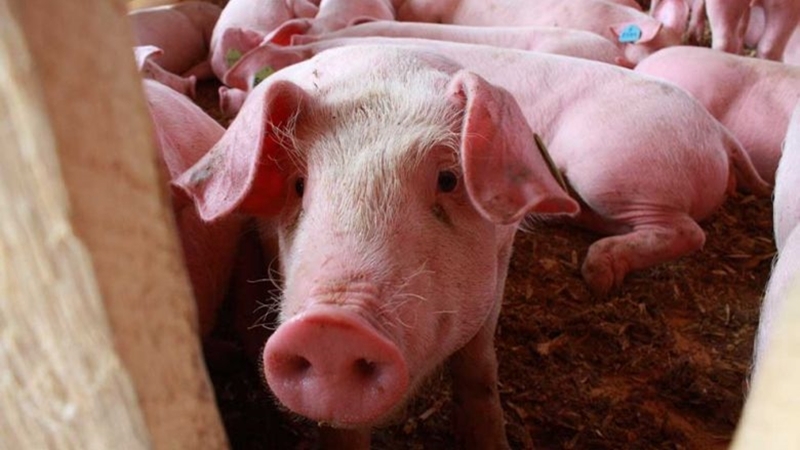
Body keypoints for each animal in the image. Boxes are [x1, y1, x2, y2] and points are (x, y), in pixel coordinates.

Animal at [175, 45, 580, 448]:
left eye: (448, 179)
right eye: (299, 185)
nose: (330, 327)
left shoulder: (501, 258)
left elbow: (478, 363)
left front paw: (491, 441)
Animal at [219, 39, 771, 295]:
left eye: (255, 80)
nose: (225, 94)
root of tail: (717, 134)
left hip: (617, 167)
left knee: (688, 232)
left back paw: (597, 273)